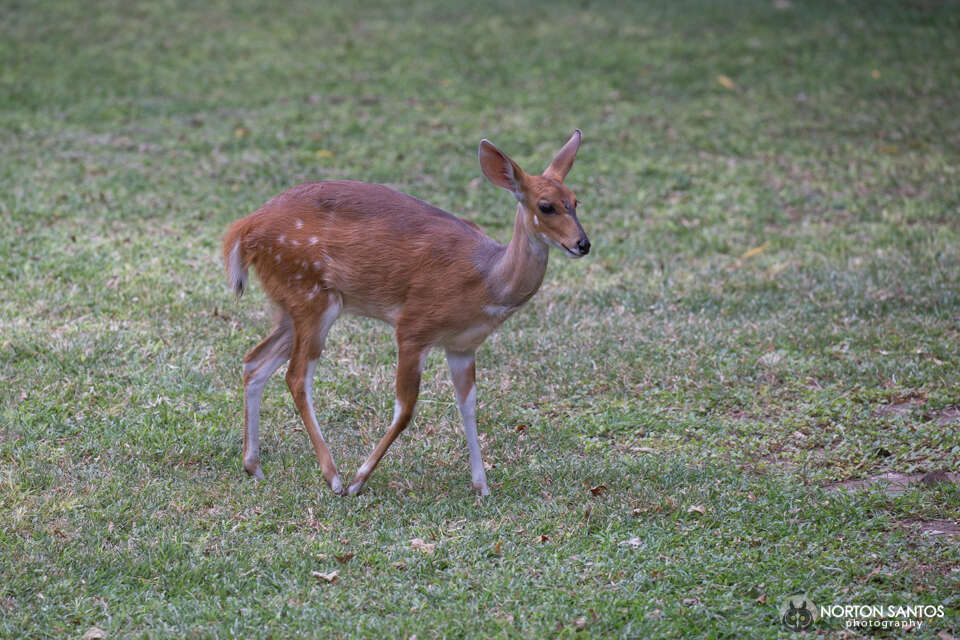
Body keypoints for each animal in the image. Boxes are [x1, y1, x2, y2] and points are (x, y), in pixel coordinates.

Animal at [222, 127, 588, 492]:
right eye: (545, 206)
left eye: (575, 201)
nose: (582, 243)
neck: (487, 280)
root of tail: (243, 230)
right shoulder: (414, 326)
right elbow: (406, 408)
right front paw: (359, 480)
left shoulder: (462, 345)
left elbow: (468, 405)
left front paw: (482, 487)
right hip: (310, 294)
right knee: (296, 375)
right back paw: (334, 477)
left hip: (292, 305)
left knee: (254, 361)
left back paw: (253, 465)